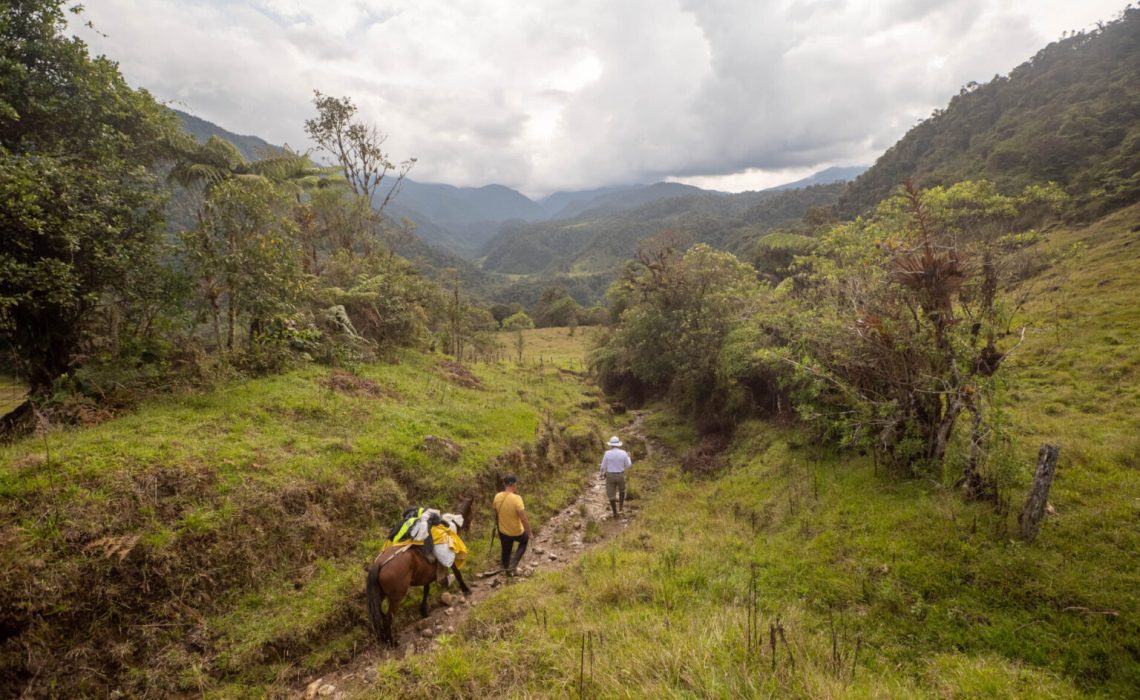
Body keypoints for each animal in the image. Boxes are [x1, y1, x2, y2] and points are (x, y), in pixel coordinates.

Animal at [364, 497, 471, 652]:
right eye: (471, 512)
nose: (468, 528)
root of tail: (379, 564)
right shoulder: (450, 561)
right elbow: (457, 574)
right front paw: (466, 589)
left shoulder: (426, 575)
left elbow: (426, 590)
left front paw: (424, 610)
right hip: (396, 597)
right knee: (388, 618)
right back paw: (392, 642)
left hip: (380, 594)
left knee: (379, 615)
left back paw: (384, 639)